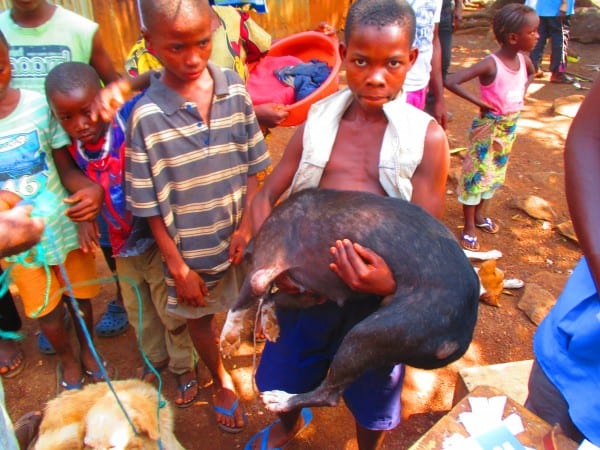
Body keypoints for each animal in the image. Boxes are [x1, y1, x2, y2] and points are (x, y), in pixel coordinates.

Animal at [220, 188, 478, 414]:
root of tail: (461, 335)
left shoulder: (262, 272)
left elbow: (241, 304)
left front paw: (228, 338)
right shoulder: (311, 295)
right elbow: (271, 299)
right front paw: (270, 324)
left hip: (367, 335)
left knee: (328, 395)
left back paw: (283, 400)